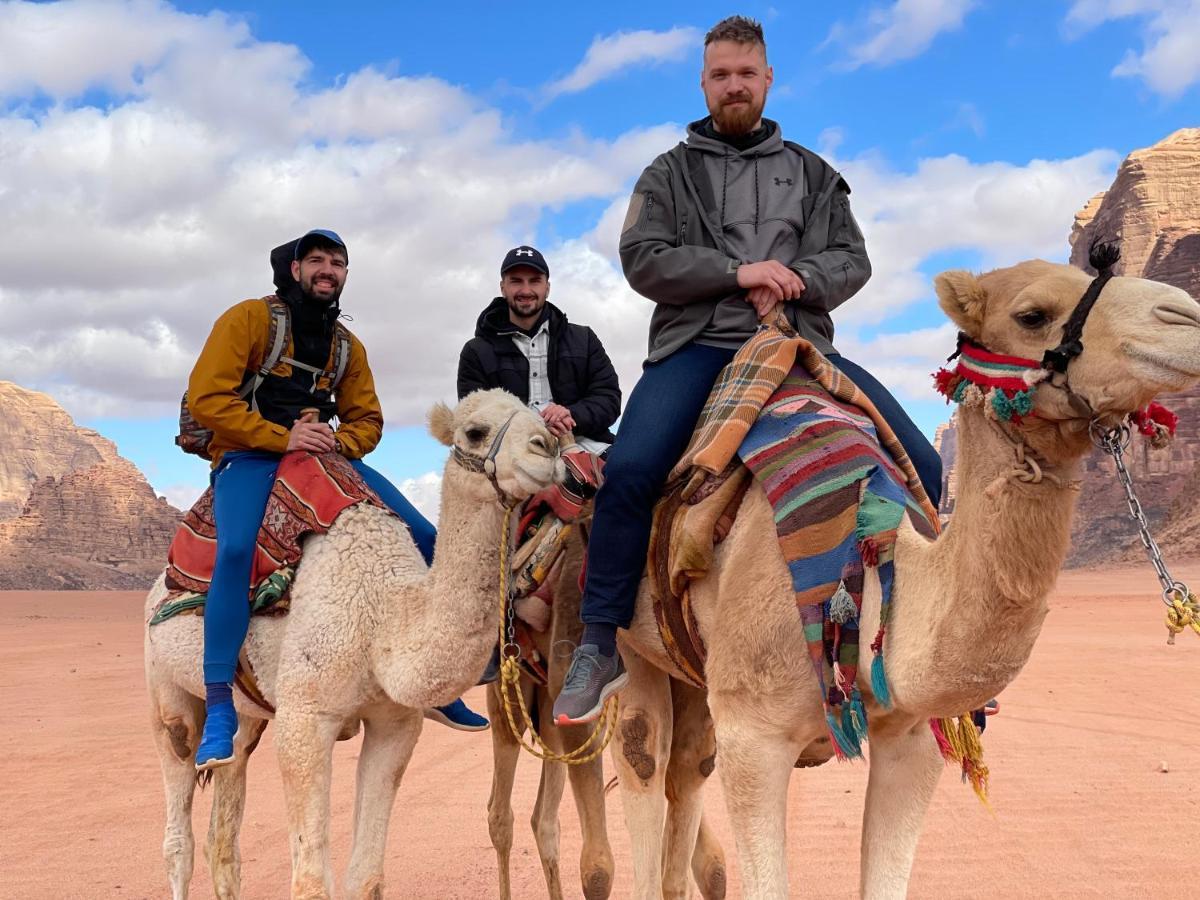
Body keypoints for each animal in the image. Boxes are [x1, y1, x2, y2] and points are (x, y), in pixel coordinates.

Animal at [144, 393, 561, 900]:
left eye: (541, 417)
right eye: (475, 432)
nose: (548, 447)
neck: (380, 614)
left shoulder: (395, 724)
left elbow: (366, 876)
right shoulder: (305, 720)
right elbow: (309, 883)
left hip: (248, 717)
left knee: (222, 833)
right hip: (165, 688)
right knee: (178, 830)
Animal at [609, 262, 1200, 900]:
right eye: (1032, 315)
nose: (1186, 317)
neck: (868, 586)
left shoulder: (914, 737)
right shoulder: (753, 733)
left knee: (687, 767)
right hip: (630, 644)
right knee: (642, 757)